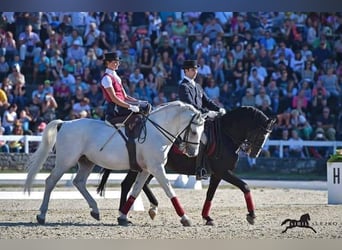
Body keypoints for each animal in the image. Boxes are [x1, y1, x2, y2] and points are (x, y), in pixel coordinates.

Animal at [24, 101, 206, 227]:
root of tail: (65, 123)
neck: (157, 131)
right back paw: (42, 215)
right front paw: (185, 218)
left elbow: (135, 190)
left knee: (79, 182)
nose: (193, 153)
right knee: (50, 181)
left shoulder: (146, 170)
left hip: (86, 162)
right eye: (194, 131)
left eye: (202, 131)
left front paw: (123, 217)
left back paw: (95, 210)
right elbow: (169, 190)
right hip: (65, 161)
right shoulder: (156, 168)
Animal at [97, 105, 276, 225]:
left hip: (150, 166)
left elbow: (210, 194)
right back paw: (125, 214)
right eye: (261, 133)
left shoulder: (217, 174)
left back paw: (149, 208)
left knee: (141, 184)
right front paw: (251, 215)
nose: (254, 154)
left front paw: (207, 217)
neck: (226, 134)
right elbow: (245, 186)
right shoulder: (223, 171)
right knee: (127, 184)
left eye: (267, 135)